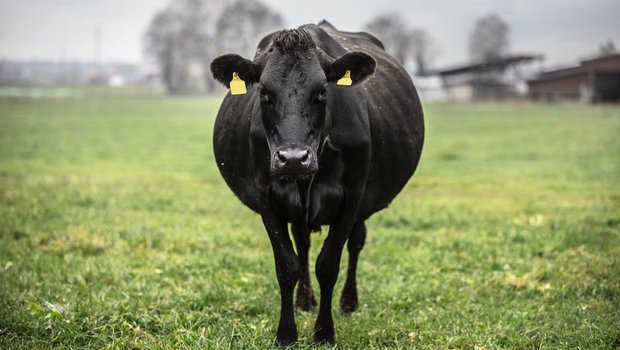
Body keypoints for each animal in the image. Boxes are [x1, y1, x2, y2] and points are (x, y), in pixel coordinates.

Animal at [211, 20, 424, 346]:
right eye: (264, 93)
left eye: (323, 91)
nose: (293, 158)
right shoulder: (266, 196)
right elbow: (287, 265)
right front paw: (286, 333)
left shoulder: (352, 197)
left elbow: (329, 264)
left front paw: (324, 332)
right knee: (303, 243)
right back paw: (304, 300)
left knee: (356, 243)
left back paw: (349, 302)